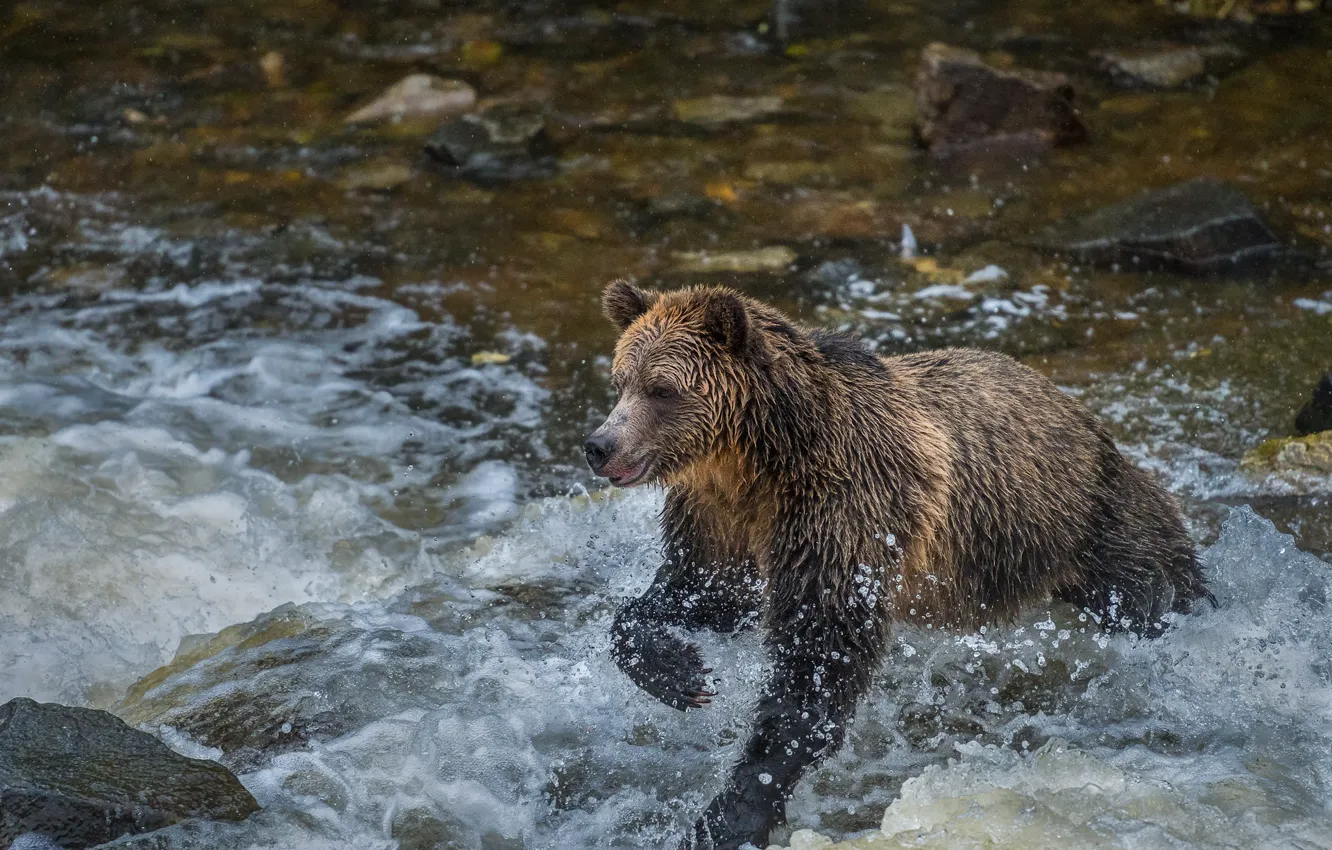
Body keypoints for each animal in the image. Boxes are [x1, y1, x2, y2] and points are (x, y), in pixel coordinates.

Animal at [583, 280, 1214, 850]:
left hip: (1087, 521)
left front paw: (728, 816)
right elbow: (699, 594)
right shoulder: (719, 522)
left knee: (1149, 587)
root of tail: (1077, 410)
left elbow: (818, 662)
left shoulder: (842, 509)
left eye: (661, 388)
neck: (756, 460)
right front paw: (683, 674)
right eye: (620, 381)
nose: (599, 445)